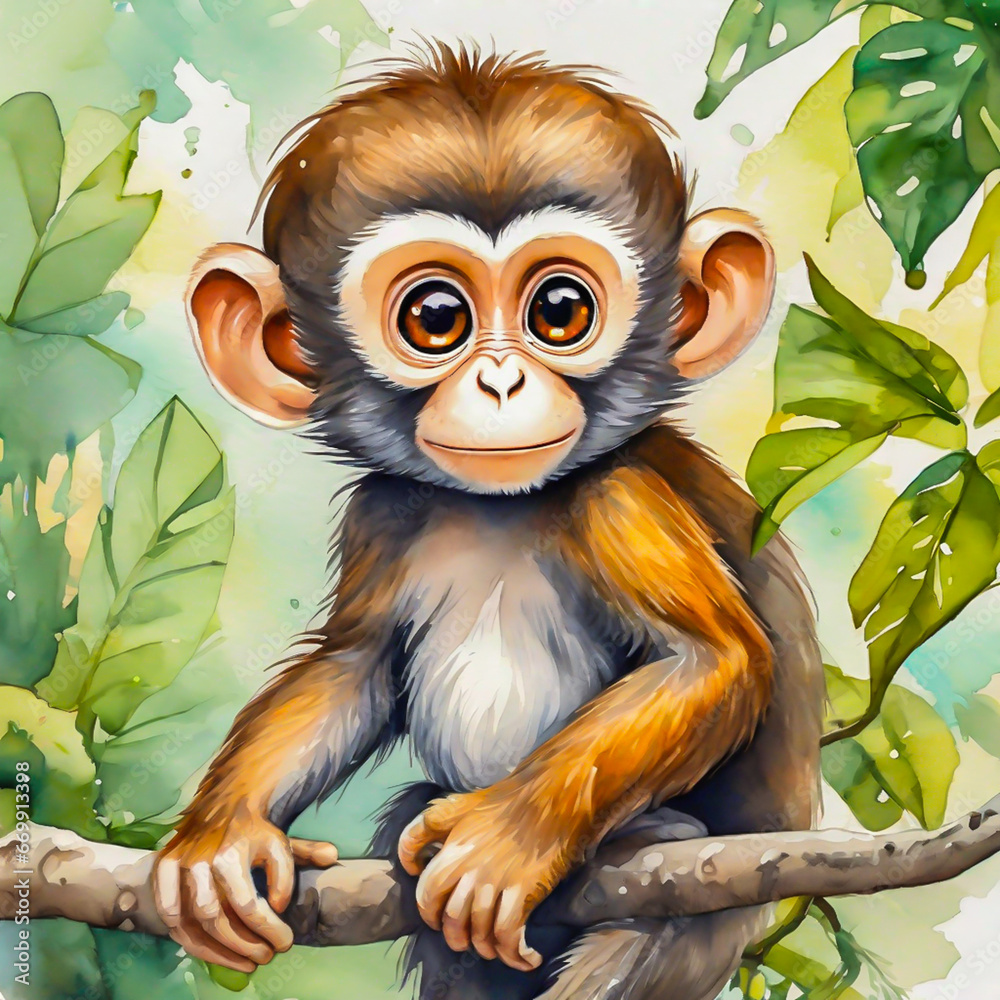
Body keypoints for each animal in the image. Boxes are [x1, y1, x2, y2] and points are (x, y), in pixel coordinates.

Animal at [154, 44, 824, 1000]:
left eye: (559, 312)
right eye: (436, 318)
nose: (501, 383)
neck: (498, 513)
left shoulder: (618, 497)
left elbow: (712, 661)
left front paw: (506, 839)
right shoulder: (383, 513)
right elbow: (354, 669)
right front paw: (223, 836)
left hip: (701, 914)